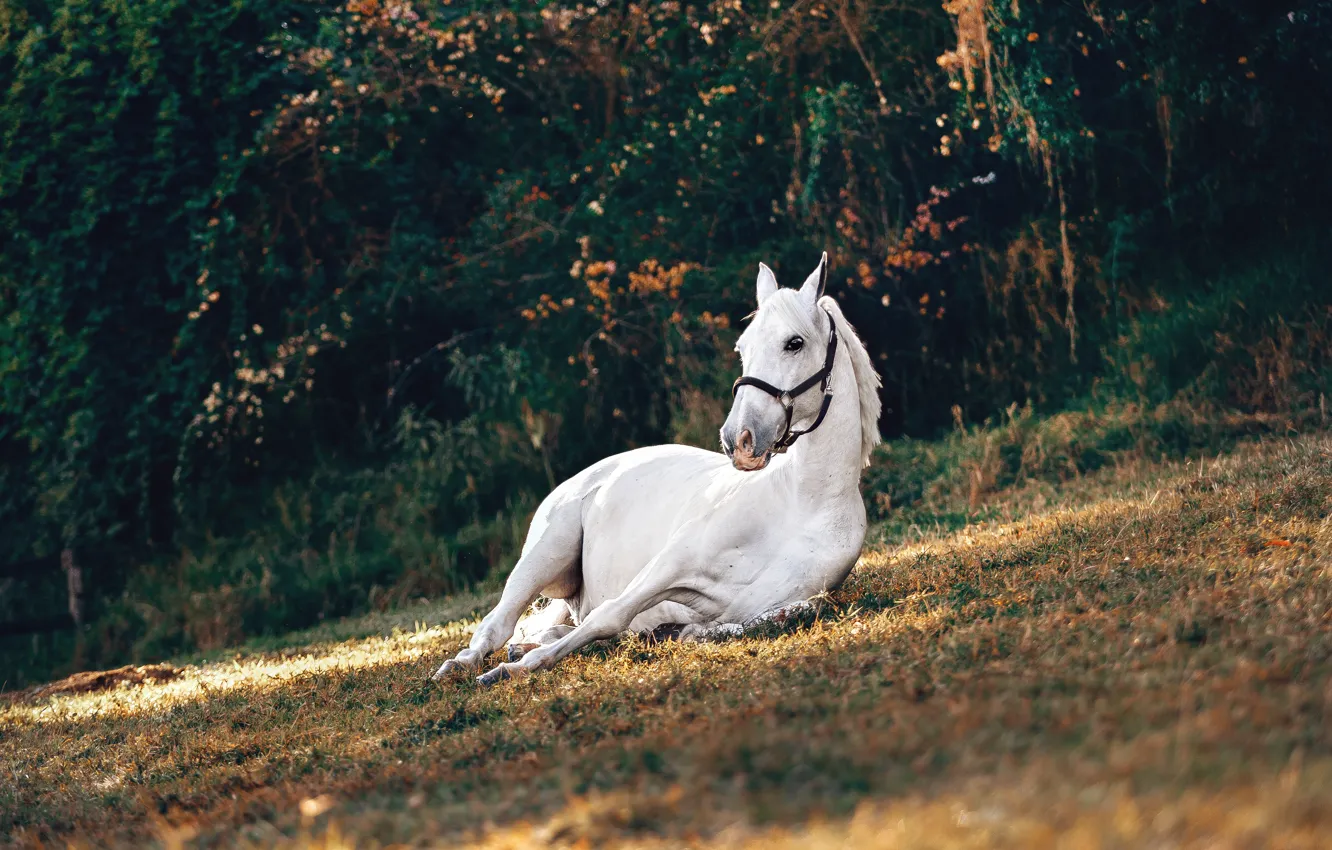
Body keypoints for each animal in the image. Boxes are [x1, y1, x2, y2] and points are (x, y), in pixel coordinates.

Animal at [432, 252, 882, 686]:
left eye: (794, 343)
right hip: (542, 557)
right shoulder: (670, 565)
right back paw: (464, 665)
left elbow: (764, 619)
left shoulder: (770, 605)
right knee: (497, 624)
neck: (803, 503)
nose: (738, 439)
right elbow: (609, 614)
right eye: (743, 348)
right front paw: (515, 671)